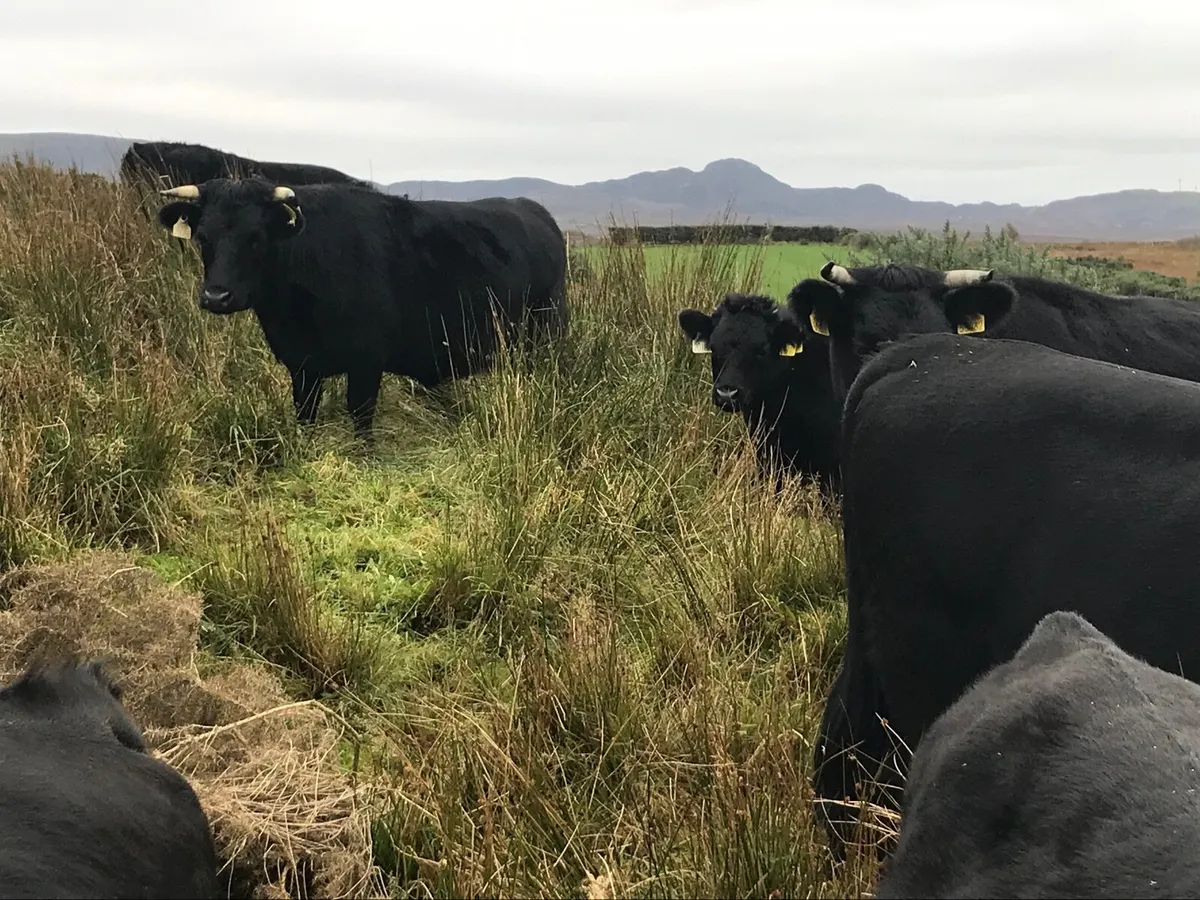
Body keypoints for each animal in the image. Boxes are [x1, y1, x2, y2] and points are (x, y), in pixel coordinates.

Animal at [156, 177, 568, 438]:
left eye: (256, 237)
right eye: (203, 237)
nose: (216, 296)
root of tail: (535, 212)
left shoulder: (367, 361)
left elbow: (360, 414)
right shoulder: (301, 366)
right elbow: (305, 413)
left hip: (546, 335)